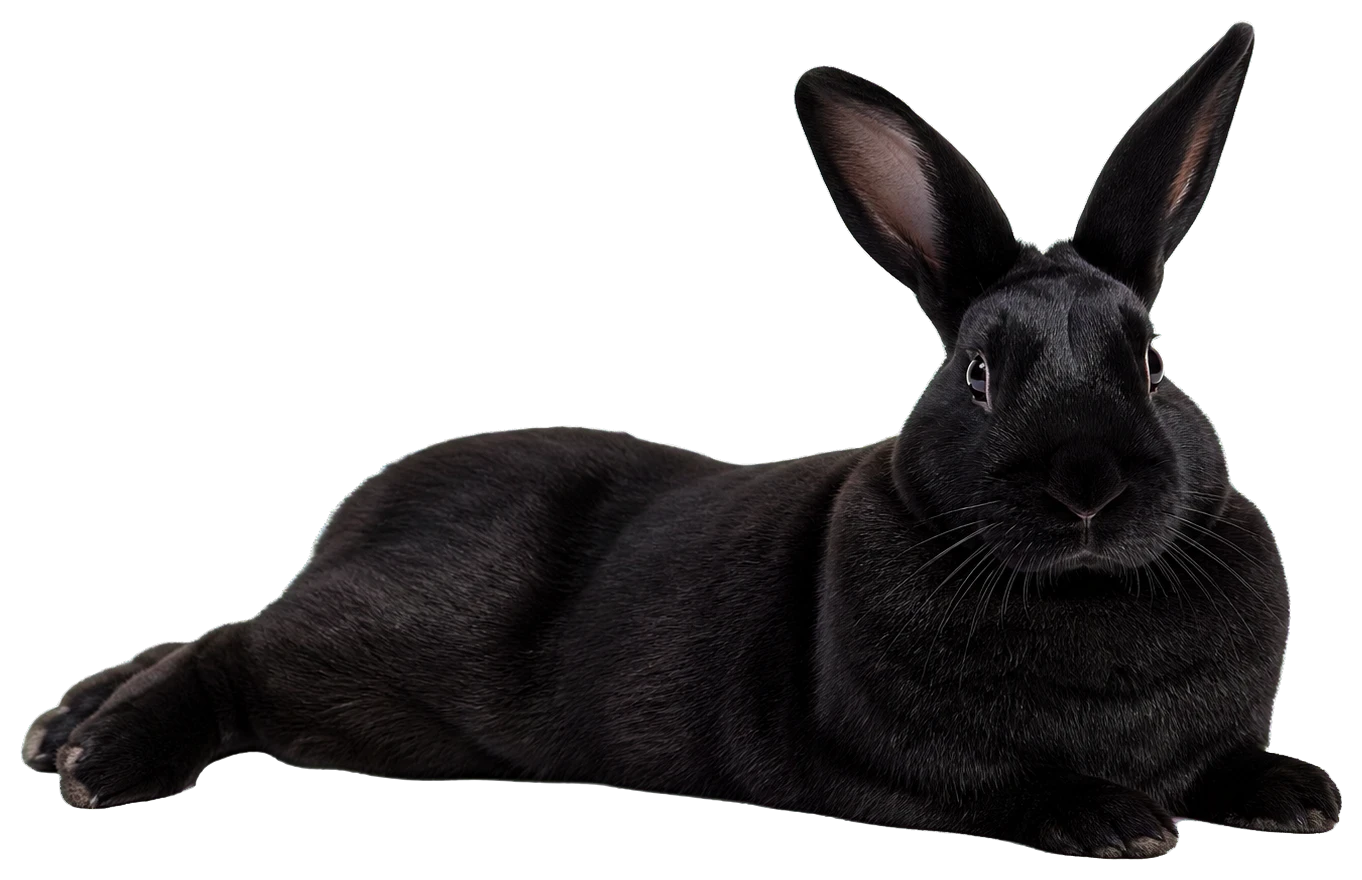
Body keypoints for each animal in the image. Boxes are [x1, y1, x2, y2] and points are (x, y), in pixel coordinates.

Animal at [23, 20, 1337, 857]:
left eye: (1153, 363)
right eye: (976, 374)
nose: (1089, 485)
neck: (1088, 589)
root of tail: (352, 517)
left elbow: (1228, 760)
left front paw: (1298, 791)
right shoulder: (909, 759)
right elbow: (1006, 782)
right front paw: (1114, 820)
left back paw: (63, 722)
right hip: (383, 630)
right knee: (234, 643)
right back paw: (101, 755)